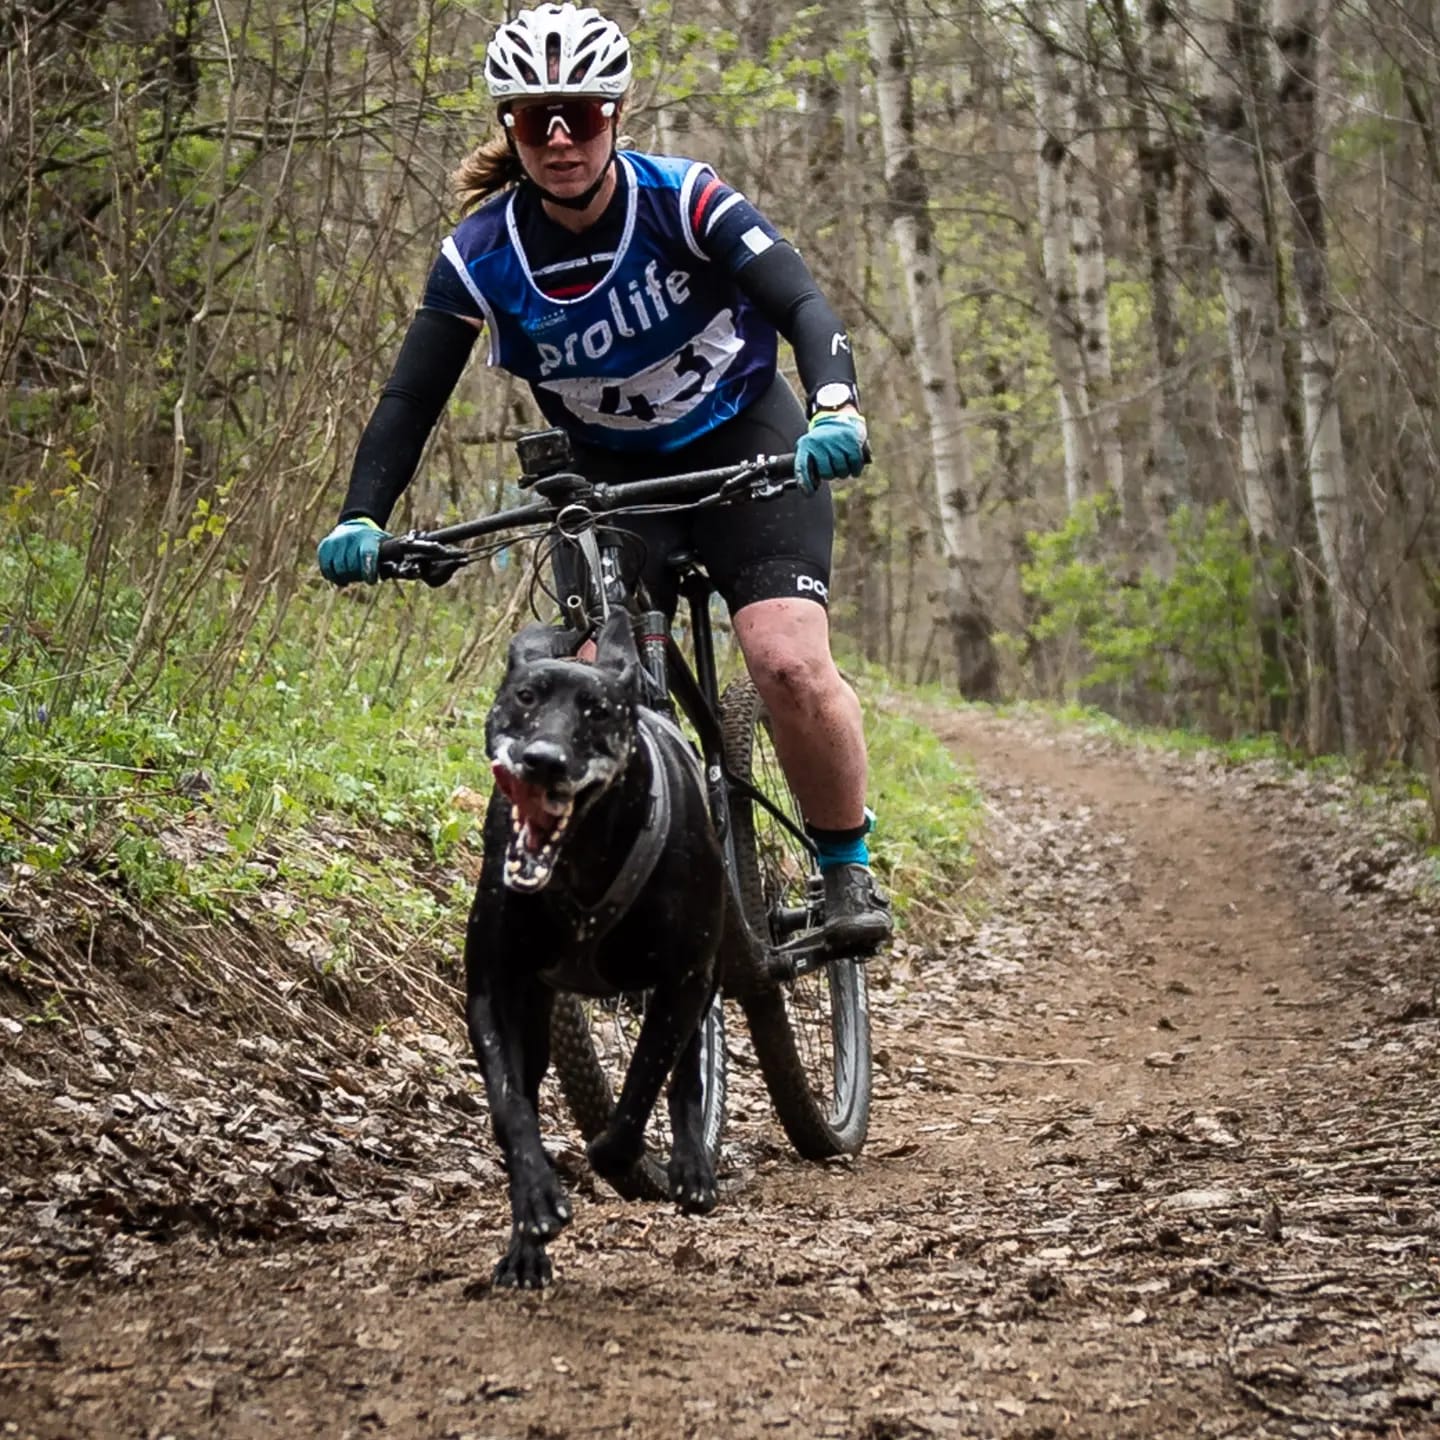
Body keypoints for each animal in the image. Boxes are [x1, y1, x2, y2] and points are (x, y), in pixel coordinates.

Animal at [463, 613, 725, 1290]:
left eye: (598, 711)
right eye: (526, 697)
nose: (543, 761)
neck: (578, 864)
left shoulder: (684, 978)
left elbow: (643, 1086)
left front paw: (617, 1156)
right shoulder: (492, 991)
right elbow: (510, 1107)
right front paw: (534, 1205)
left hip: (708, 971)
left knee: (689, 1063)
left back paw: (691, 1164)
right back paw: (526, 1248)